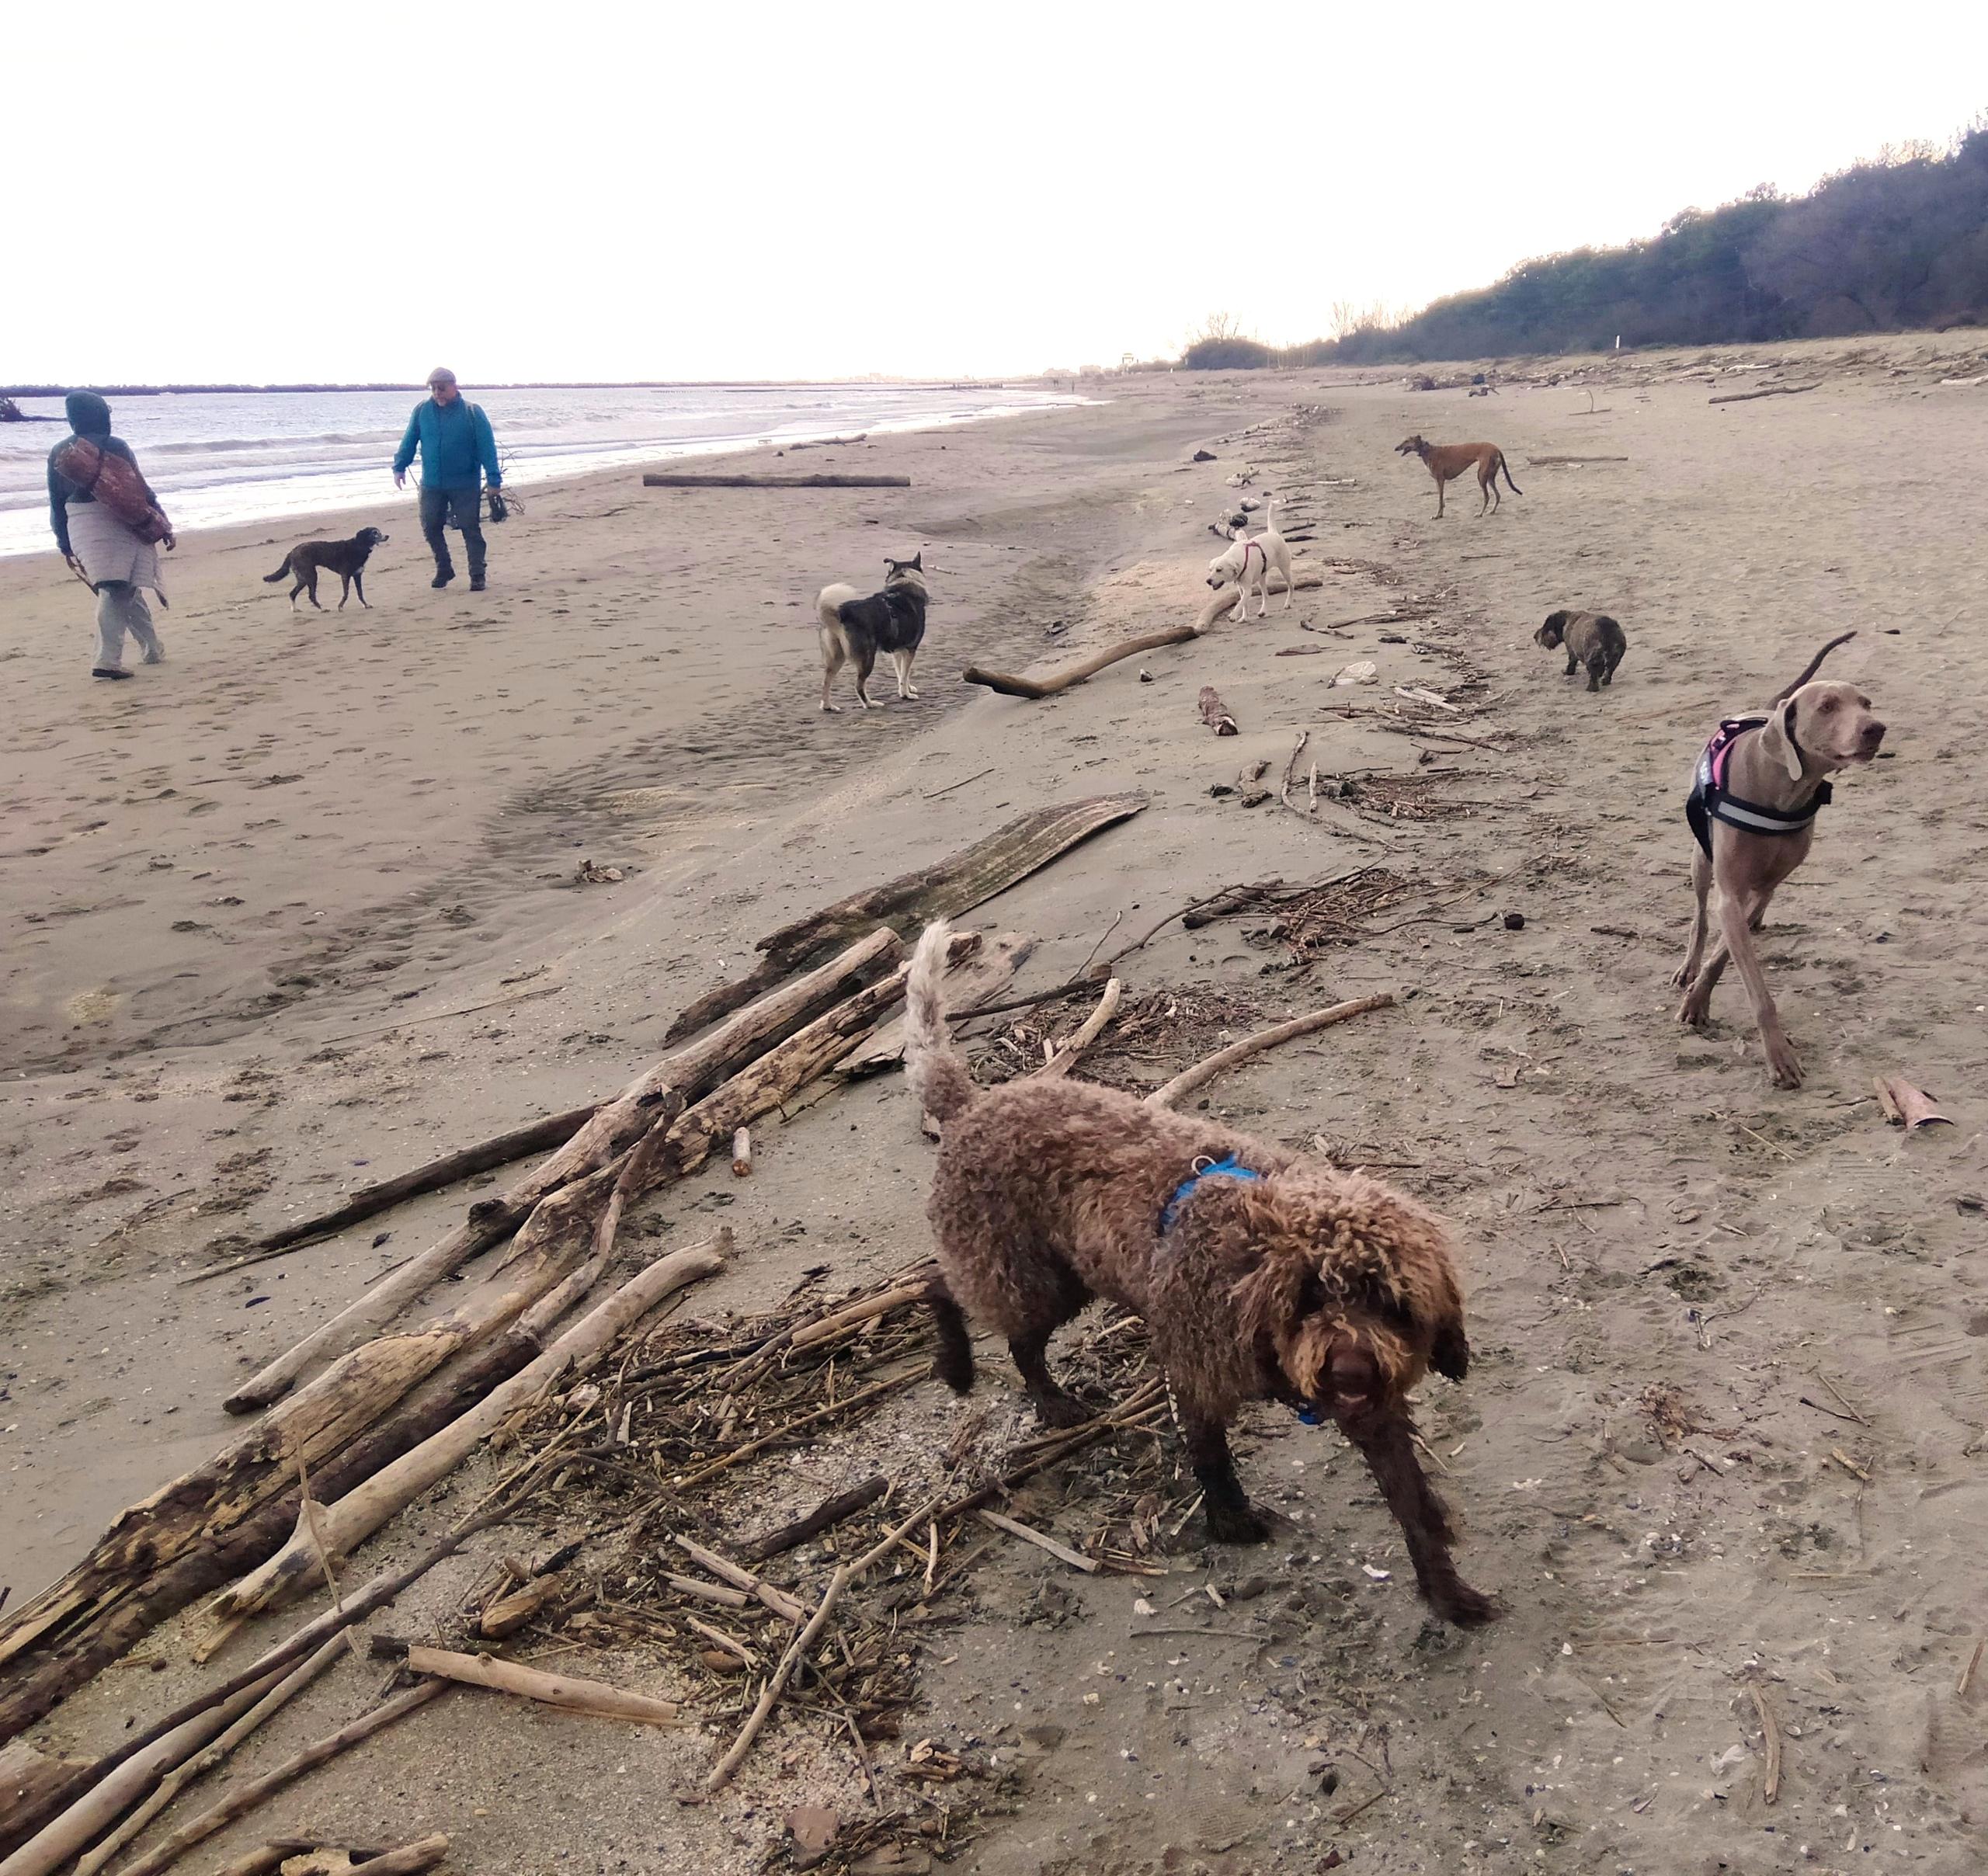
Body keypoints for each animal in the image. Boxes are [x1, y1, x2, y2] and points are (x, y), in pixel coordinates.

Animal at [264, 528, 388, 608]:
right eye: (375, 533)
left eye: (379, 532)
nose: (387, 536)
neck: (359, 545)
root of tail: (292, 552)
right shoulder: (345, 575)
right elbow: (346, 593)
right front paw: (340, 606)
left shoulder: (357, 575)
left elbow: (360, 593)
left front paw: (366, 605)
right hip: (311, 576)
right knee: (311, 596)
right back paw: (322, 609)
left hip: (303, 578)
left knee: (292, 594)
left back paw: (295, 610)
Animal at [811, 552, 926, 715]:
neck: (904, 582)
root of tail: (841, 613)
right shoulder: (911, 649)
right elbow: (904, 674)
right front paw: (906, 694)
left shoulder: (898, 651)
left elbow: (902, 673)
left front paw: (906, 688)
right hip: (867, 658)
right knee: (859, 685)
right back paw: (870, 704)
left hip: (837, 657)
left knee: (826, 681)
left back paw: (828, 706)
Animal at [902, 922, 1495, 1629]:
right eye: (1310, 1296)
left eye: (1391, 1302)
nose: (1349, 1370)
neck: (1250, 1271)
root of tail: (970, 1104)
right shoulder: (1197, 1372)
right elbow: (1210, 1455)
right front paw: (1230, 1521)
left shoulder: (1373, 1415)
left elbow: (1412, 1507)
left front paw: (1446, 1590)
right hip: (1022, 1273)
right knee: (946, 1290)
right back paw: (968, 1367)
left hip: (1062, 1277)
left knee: (999, 1325)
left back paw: (1040, 1396)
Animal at [1201, 495, 1296, 620]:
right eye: (1210, 570)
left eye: (1219, 570)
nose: (1208, 581)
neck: (1238, 559)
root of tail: (1273, 533)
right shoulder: (1241, 588)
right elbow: (1243, 603)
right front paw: (1243, 617)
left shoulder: (1247, 590)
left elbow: (1240, 603)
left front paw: (1233, 615)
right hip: (1261, 578)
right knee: (1266, 595)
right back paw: (1263, 611)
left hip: (1285, 570)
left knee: (1291, 586)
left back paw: (1288, 603)